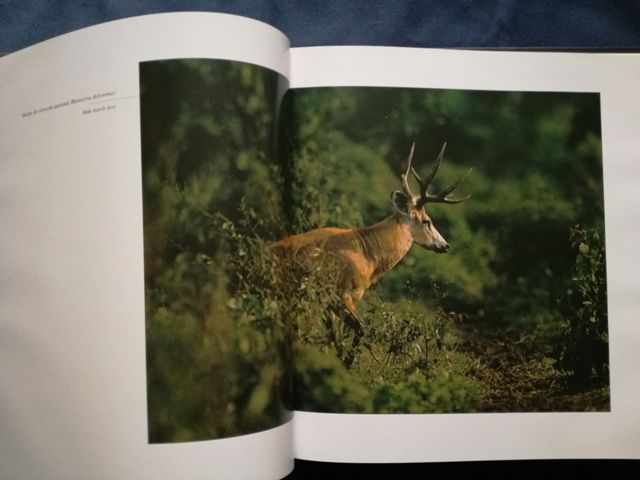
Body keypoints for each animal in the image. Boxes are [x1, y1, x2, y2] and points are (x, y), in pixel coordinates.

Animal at [268, 143, 470, 368]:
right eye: (427, 221)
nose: (445, 245)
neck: (367, 255)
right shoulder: (339, 292)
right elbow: (360, 328)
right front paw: (347, 366)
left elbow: (334, 338)